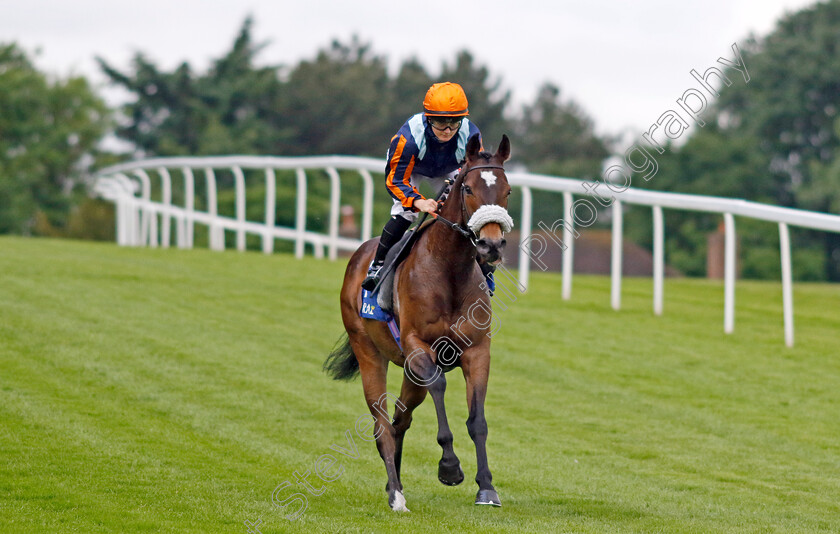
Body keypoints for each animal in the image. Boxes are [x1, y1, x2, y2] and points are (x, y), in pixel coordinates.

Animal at [324, 135, 512, 516]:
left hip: (410, 375)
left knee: (400, 420)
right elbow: (439, 385)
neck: (449, 269)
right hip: (370, 353)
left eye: (507, 191)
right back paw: (396, 494)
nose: (491, 245)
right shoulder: (417, 346)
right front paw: (450, 468)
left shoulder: (477, 351)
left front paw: (486, 488)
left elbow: (478, 420)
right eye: (468, 188)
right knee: (382, 423)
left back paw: (393, 483)